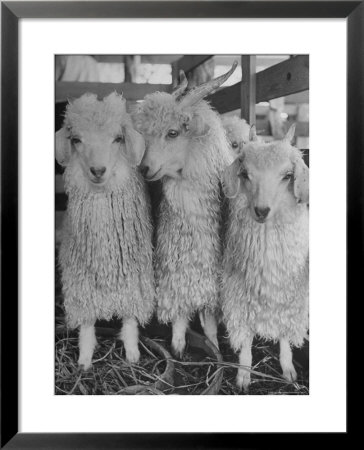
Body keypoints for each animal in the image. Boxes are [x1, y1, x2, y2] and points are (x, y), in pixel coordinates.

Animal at [55, 91, 155, 370]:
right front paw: (84, 360)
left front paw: (132, 354)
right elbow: (87, 322)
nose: (98, 171)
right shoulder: (80, 281)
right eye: (76, 139)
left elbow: (130, 318)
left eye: (118, 138)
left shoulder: (135, 278)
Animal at [134, 61, 236, 356]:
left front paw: (215, 349)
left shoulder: (211, 279)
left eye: (173, 132)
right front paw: (178, 346)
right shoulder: (174, 269)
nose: (144, 169)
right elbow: (179, 313)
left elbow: (210, 320)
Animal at [220, 124, 308, 390]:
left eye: (288, 175)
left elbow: (285, 335)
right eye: (245, 173)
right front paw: (244, 373)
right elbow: (246, 338)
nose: (261, 211)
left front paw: (288, 369)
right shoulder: (239, 297)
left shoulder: (289, 298)